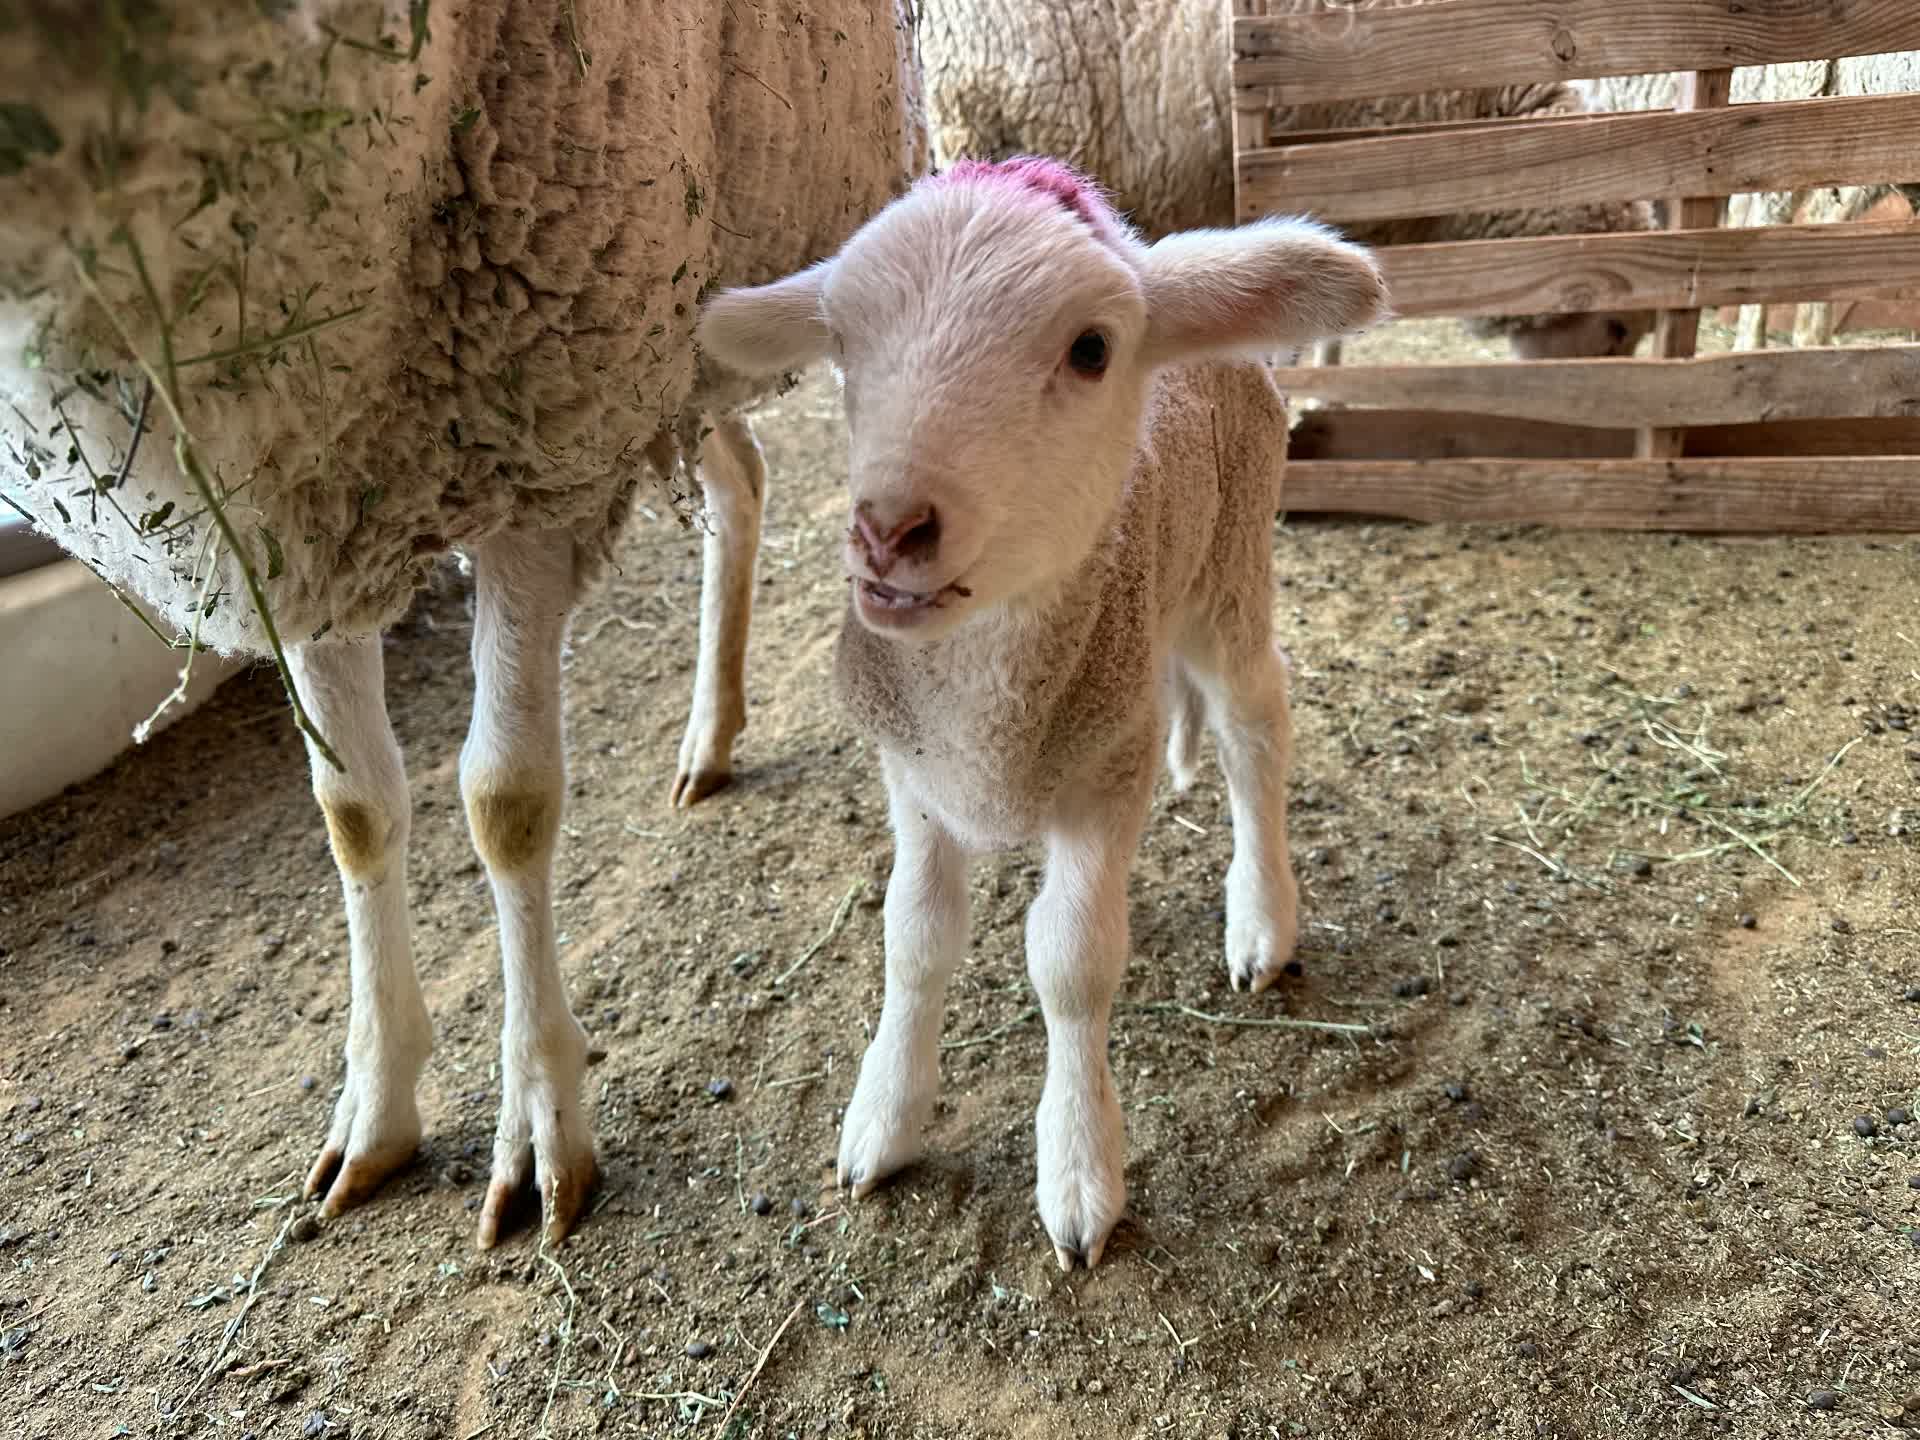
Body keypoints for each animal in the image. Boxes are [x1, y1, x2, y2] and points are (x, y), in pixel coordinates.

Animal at [0, 0, 926, 1246]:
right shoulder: (306, 512)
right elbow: (352, 811)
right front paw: (377, 1109)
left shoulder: (540, 446)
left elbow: (506, 802)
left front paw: (538, 1124)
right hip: (685, 332)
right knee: (741, 478)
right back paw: (710, 736)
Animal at [697, 156, 1388, 1268]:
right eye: (840, 342)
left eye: (1092, 349)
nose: (889, 531)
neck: (983, 709)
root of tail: (1172, 259)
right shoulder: (915, 777)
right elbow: (914, 936)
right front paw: (883, 1120)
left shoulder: (1106, 771)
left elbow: (1070, 964)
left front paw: (1077, 1174)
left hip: (1234, 566)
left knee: (1255, 729)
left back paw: (1261, 918)